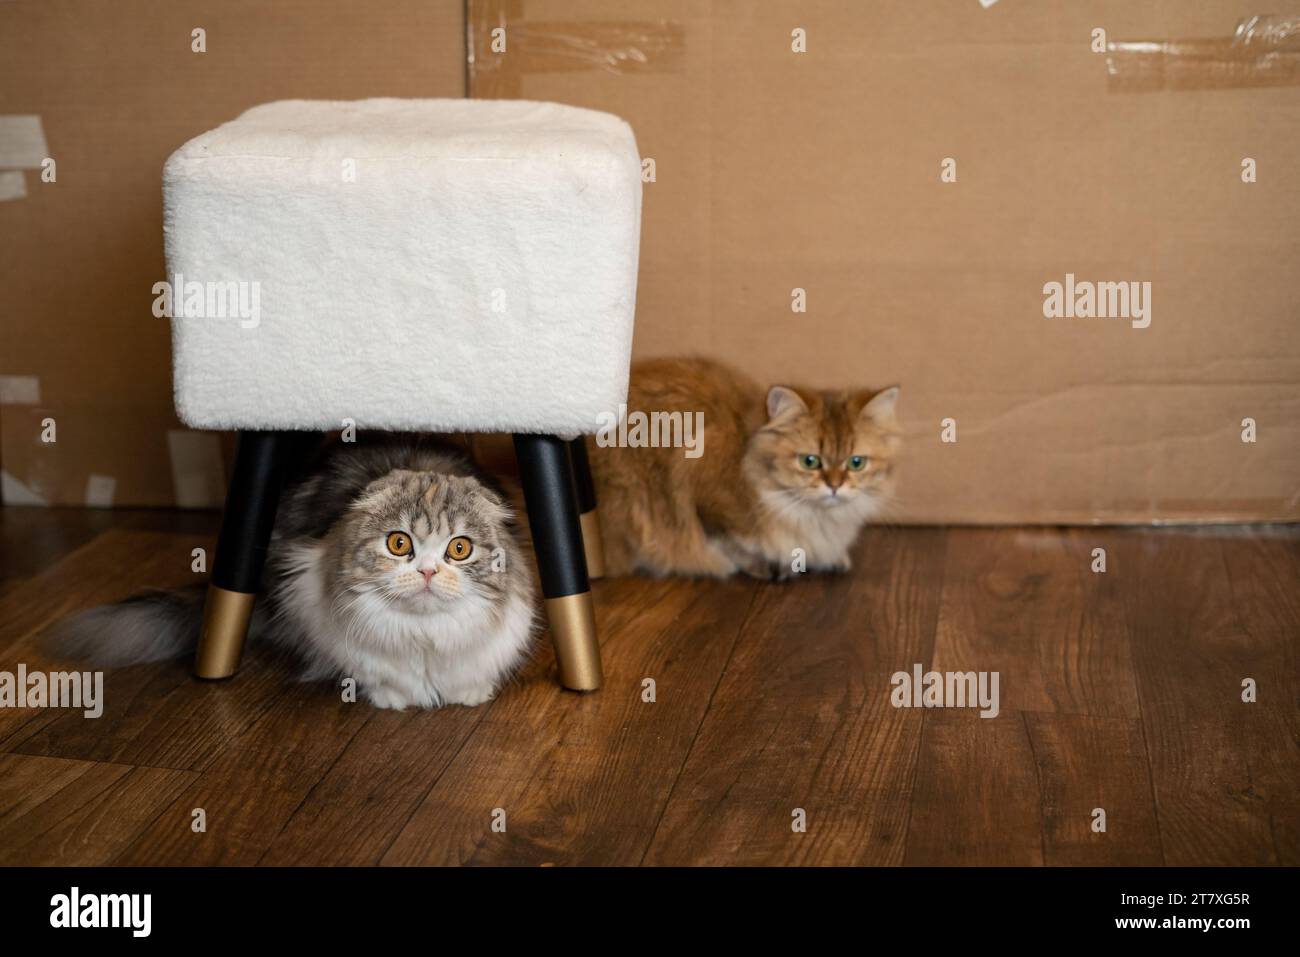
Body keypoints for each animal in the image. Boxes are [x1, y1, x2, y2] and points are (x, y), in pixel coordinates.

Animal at [50, 436, 535, 707]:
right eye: (399, 544)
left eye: (459, 549)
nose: (429, 572)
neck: (424, 637)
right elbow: (379, 674)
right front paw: (394, 700)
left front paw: (469, 693)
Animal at [592, 358, 904, 579]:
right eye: (810, 461)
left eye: (856, 463)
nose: (835, 486)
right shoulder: (705, 501)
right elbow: (734, 547)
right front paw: (771, 566)